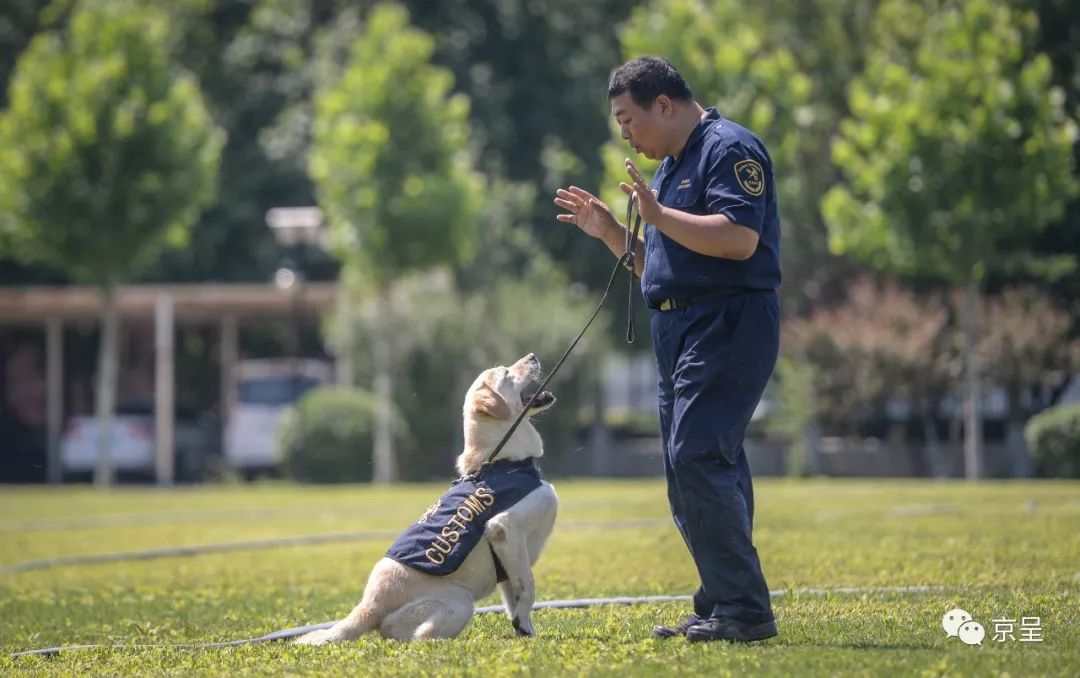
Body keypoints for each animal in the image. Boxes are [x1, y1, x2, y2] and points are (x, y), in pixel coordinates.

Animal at [300, 351, 561, 643]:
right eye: (505, 372)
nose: (533, 356)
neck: (504, 461)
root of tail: (369, 607)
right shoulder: (505, 528)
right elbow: (528, 586)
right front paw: (523, 622)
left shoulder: (506, 556)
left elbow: (512, 596)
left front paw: (524, 630)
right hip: (460, 601)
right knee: (416, 636)